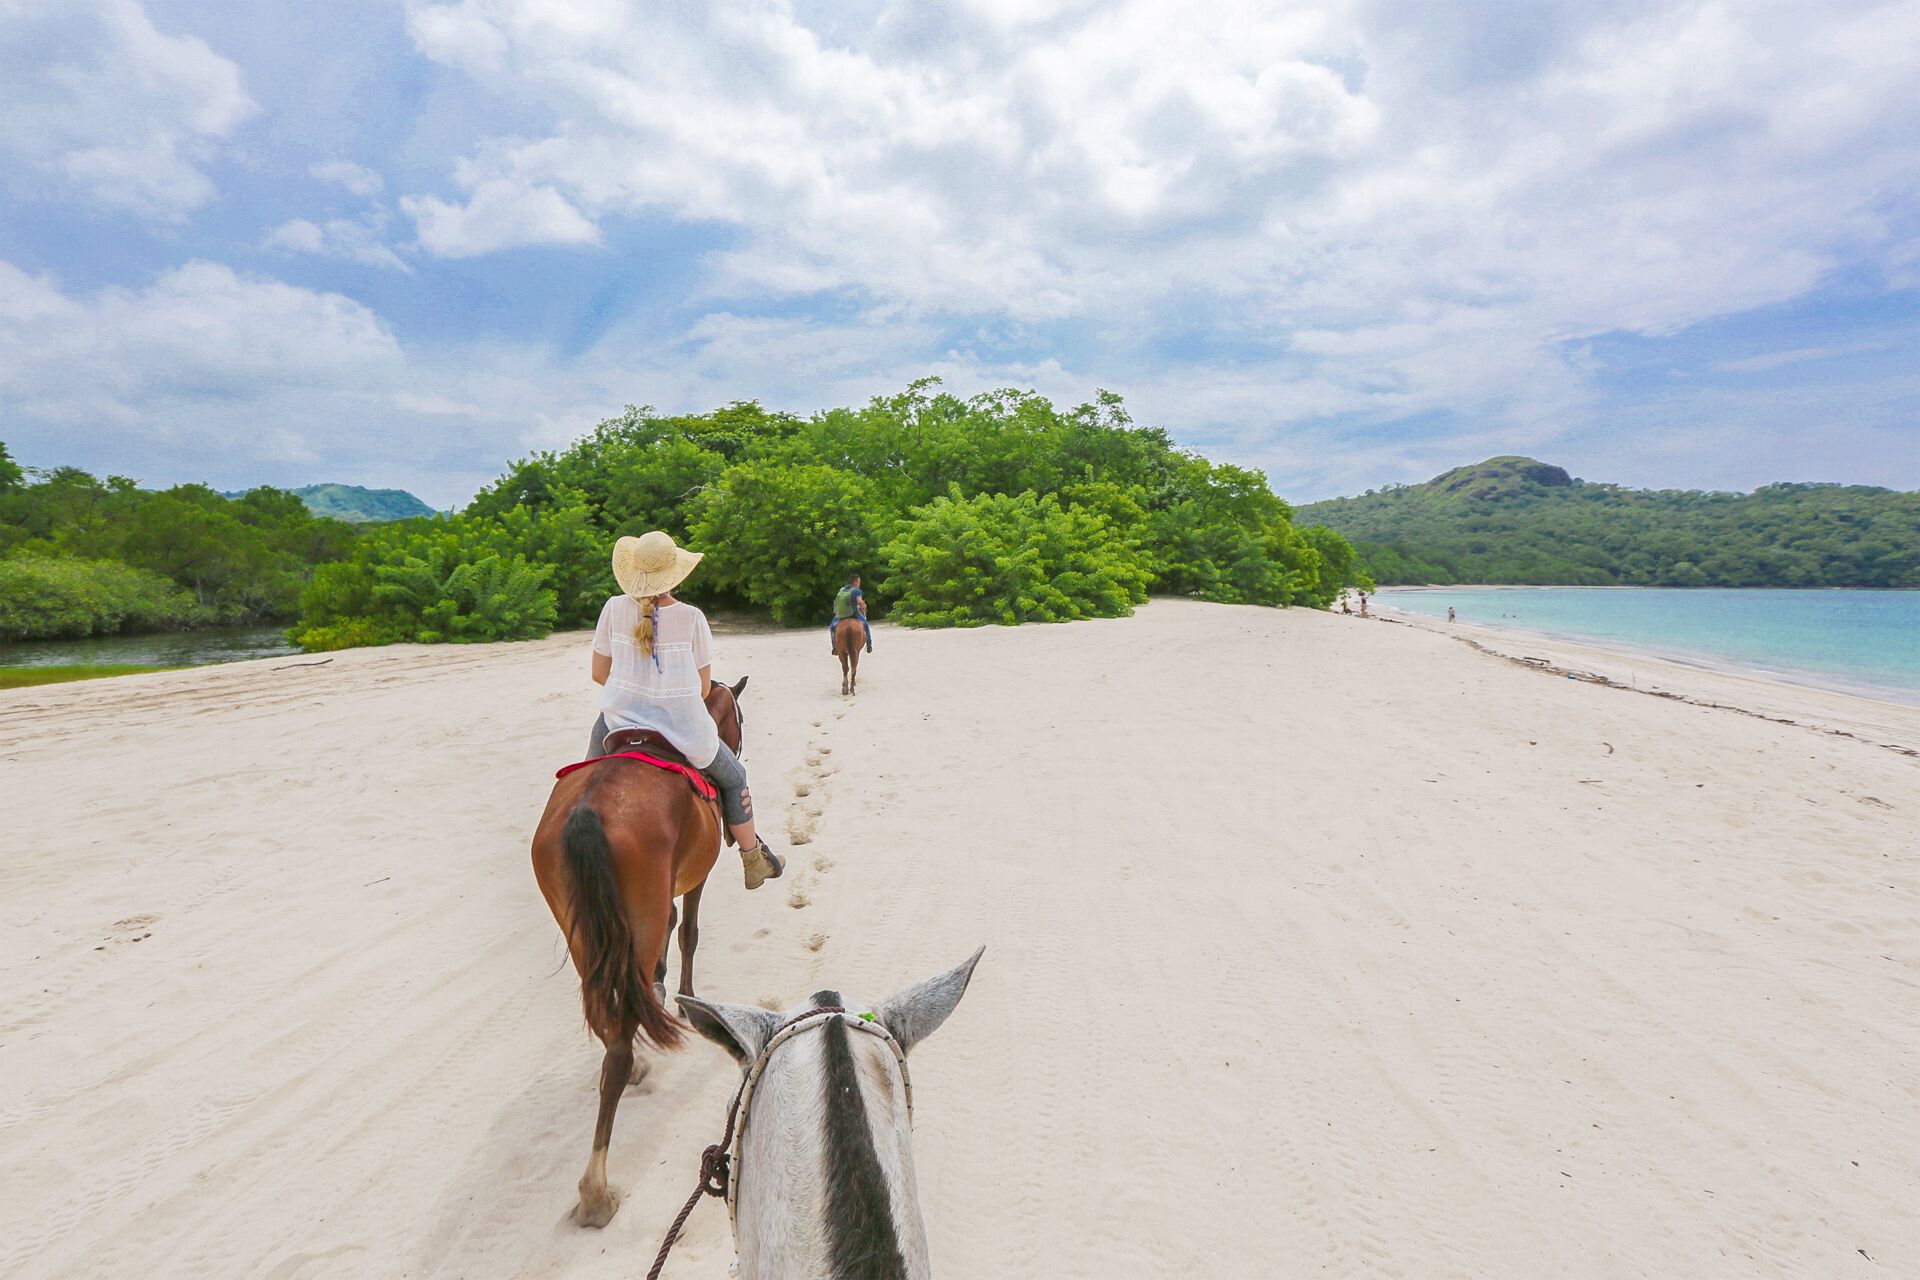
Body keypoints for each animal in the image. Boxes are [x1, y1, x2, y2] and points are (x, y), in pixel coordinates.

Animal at [530, 675, 749, 1228]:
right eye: (739, 719)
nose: (736, 748)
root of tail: (588, 809)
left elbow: (667, 937)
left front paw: (659, 986)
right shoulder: (696, 875)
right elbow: (688, 929)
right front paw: (686, 998)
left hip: (583, 931)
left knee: (607, 1016)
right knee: (618, 1052)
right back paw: (595, 1188)